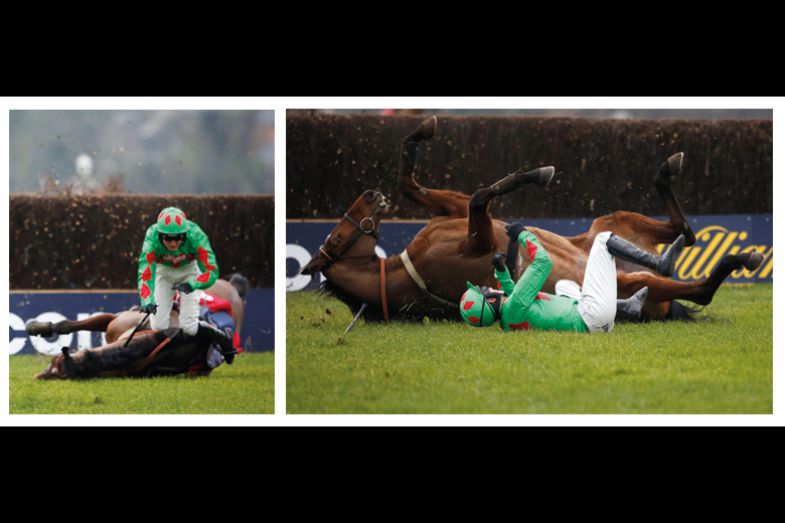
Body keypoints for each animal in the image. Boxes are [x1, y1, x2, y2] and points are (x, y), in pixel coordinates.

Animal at [28, 274, 248, 379]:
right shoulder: (113, 322)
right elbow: (67, 325)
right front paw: (38, 327)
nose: (38, 376)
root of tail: (232, 286)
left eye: (55, 364)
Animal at [300, 116, 764, 322]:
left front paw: (421, 133)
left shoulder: (455, 215)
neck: (406, 270)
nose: (367, 195)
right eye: (336, 235)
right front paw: (534, 174)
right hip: (633, 279)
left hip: (610, 223)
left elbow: (418, 187)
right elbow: (481, 198)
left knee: (681, 232)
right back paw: (734, 260)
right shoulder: (479, 244)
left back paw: (668, 181)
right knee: (697, 283)